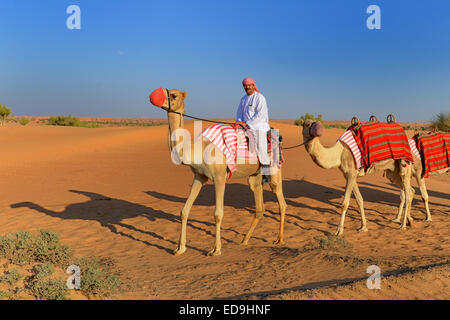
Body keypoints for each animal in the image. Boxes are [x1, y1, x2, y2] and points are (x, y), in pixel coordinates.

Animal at [151, 89, 284, 256]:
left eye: (174, 95)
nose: (154, 95)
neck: (198, 148)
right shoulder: (199, 176)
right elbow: (184, 211)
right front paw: (180, 248)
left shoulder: (219, 177)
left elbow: (218, 214)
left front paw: (216, 249)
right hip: (254, 176)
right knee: (259, 205)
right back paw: (244, 241)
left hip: (274, 169)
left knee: (281, 200)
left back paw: (279, 239)